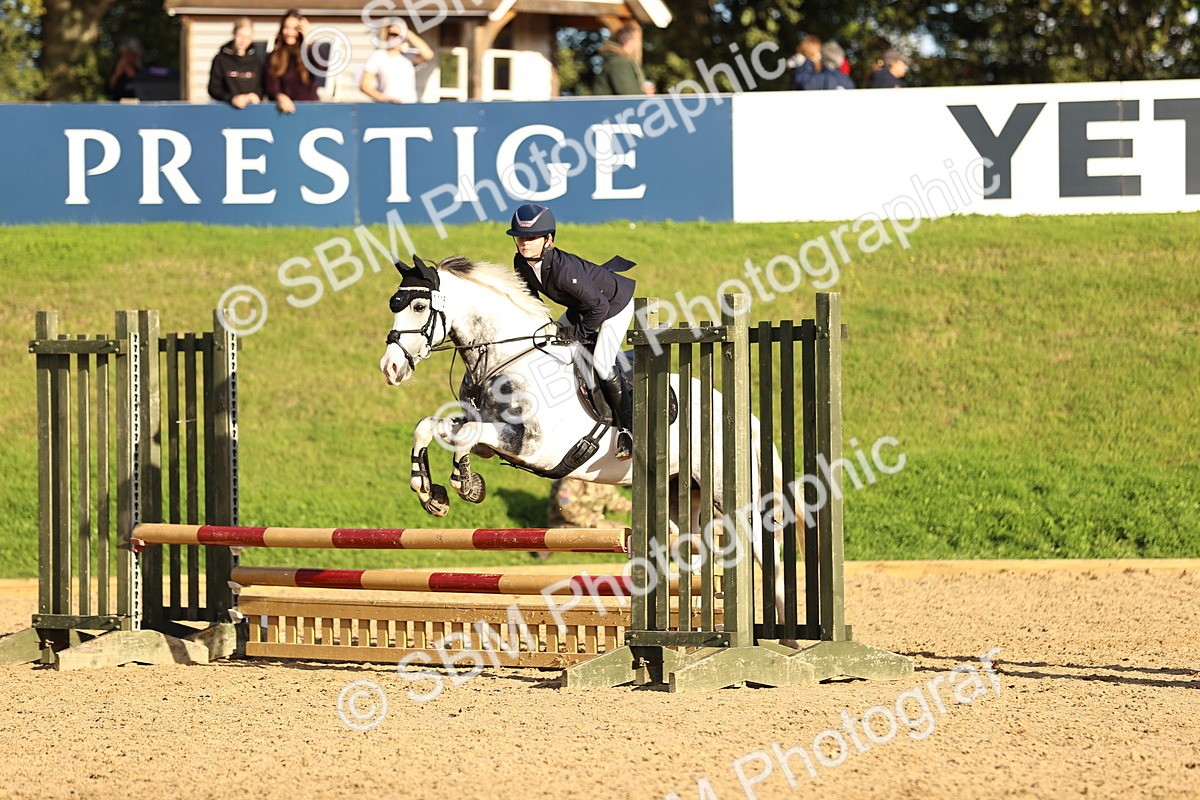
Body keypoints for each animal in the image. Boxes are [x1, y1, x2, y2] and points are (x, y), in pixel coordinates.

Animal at [378, 255, 789, 617]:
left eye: (418, 306)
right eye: (395, 305)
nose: (390, 368)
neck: (508, 357)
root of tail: (740, 413)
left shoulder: (536, 446)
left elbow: (464, 435)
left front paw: (465, 484)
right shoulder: (488, 438)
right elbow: (433, 427)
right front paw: (432, 493)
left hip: (722, 486)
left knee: (761, 544)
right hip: (680, 492)